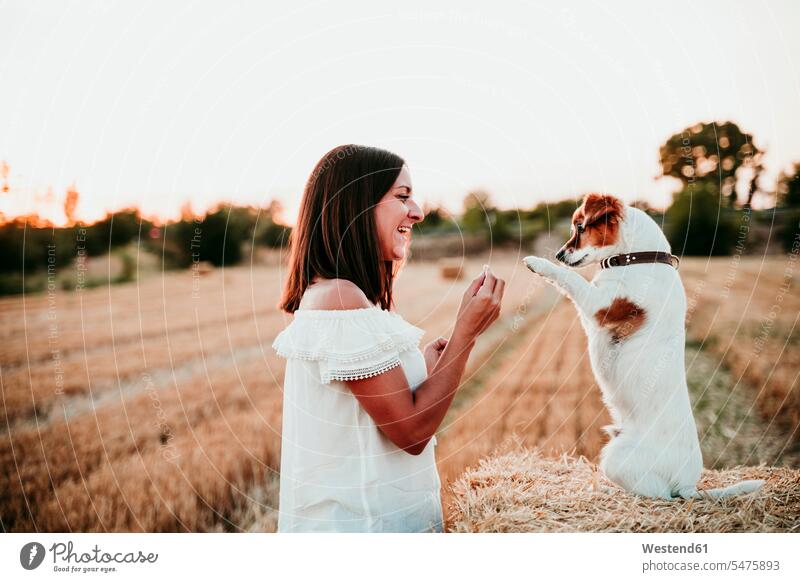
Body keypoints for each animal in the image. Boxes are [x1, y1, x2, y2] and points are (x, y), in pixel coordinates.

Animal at [524, 195, 764, 502]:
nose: (558, 254)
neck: (639, 258)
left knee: (657, 494)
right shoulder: (592, 319)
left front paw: (538, 263)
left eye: (580, 227)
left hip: (618, 459)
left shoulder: (599, 304)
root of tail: (689, 485)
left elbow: (571, 279)